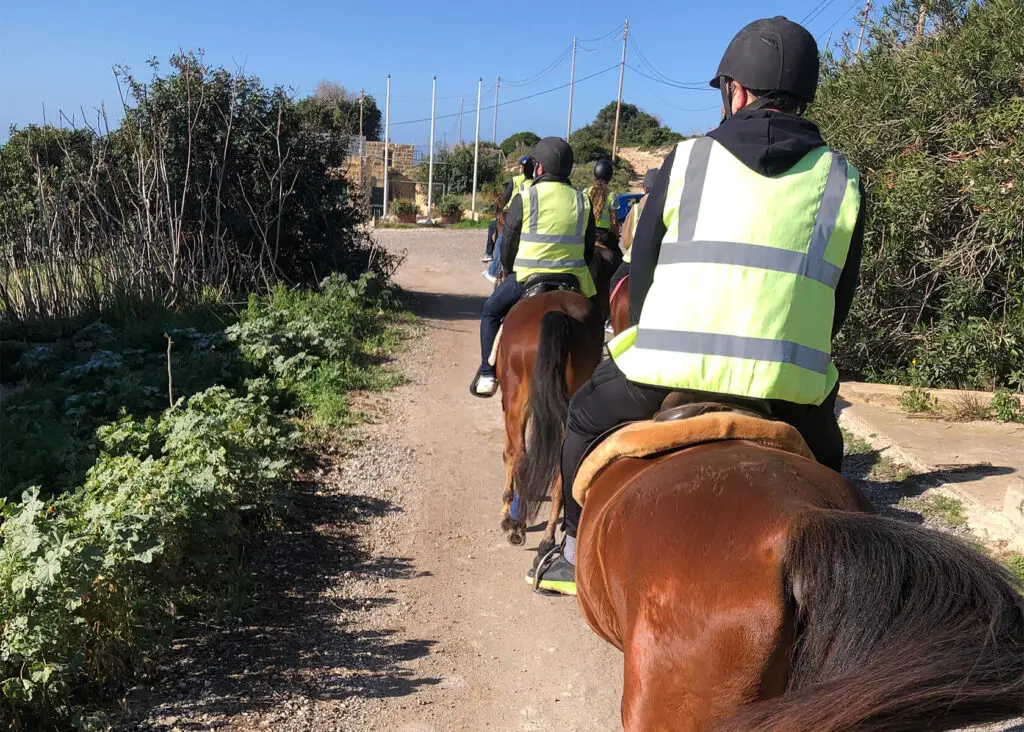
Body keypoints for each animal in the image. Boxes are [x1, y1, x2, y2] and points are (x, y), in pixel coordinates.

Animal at [495, 243, 614, 548]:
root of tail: (557, 313)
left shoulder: (509, 406)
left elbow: (508, 454)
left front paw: (506, 510)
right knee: (562, 464)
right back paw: (548, 535)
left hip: (517, 402)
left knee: (521, 455)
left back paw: (517, 524)